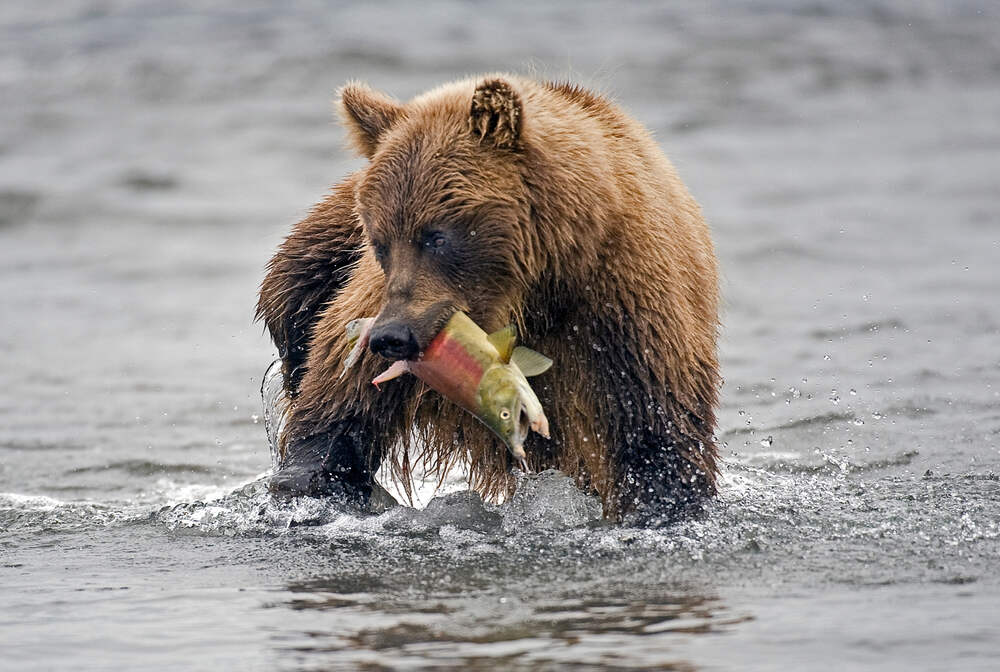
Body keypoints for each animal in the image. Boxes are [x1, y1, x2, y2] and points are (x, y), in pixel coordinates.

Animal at [256, 75, 720, 524]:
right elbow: (339, 405)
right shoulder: (378, 306)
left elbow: (657, 433)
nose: (393, 337)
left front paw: (662, 502)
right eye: (380, 241)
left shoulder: (626, 307)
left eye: (436, 236)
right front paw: (311, 483)